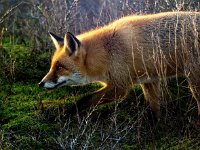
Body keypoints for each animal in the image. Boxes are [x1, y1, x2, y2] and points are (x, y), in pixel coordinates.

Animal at [38, 11, 200, 118]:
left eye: (59, 67)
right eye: (52, 66)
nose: (40, 83)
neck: (106, 52)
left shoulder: (119, 87)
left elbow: (84, 99)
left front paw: (65, 114)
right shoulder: (149, 81)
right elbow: (155, 109)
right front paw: (157, 126)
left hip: (193, 80)